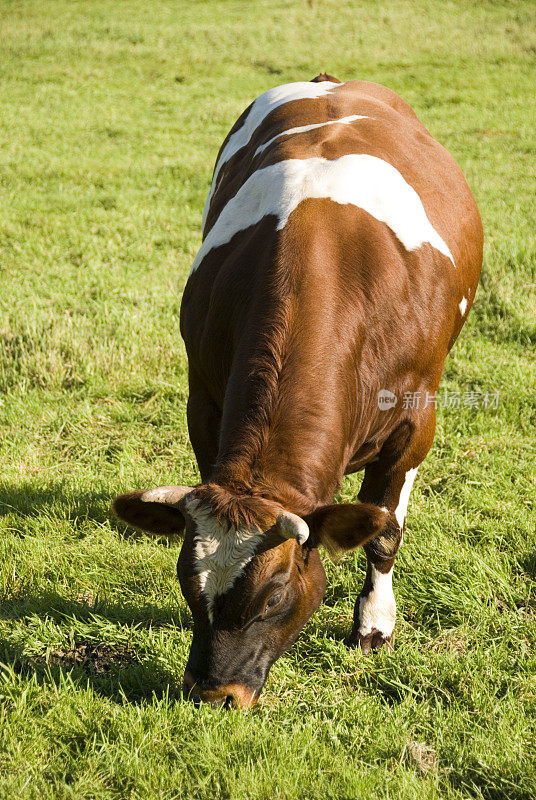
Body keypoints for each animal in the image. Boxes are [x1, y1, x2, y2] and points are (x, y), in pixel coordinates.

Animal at [113, 75, 482, 708]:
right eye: (188, 584)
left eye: (275, 596)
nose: (214, 693)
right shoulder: (203, 401)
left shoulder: (416, 420)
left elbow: (384, 532)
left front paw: (374, 624)